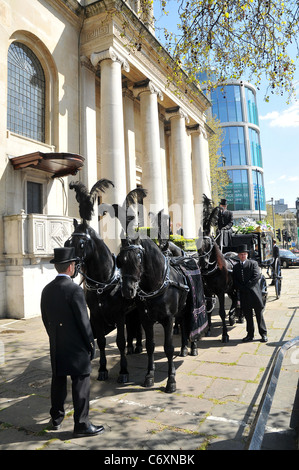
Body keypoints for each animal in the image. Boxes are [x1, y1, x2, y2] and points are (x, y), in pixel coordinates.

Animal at [117, 235, 209, 392]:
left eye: (138, 258)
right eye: (120, 260)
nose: (127, 290)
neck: (157, 285)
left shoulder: (168, 319)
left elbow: (169, 348)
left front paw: (171, 380)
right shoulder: (146, 320)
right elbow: (150, 346)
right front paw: (149, 375)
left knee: (192, 324)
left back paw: (193, 347)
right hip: (182, 309)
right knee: (184, 325)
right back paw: (184, 348)